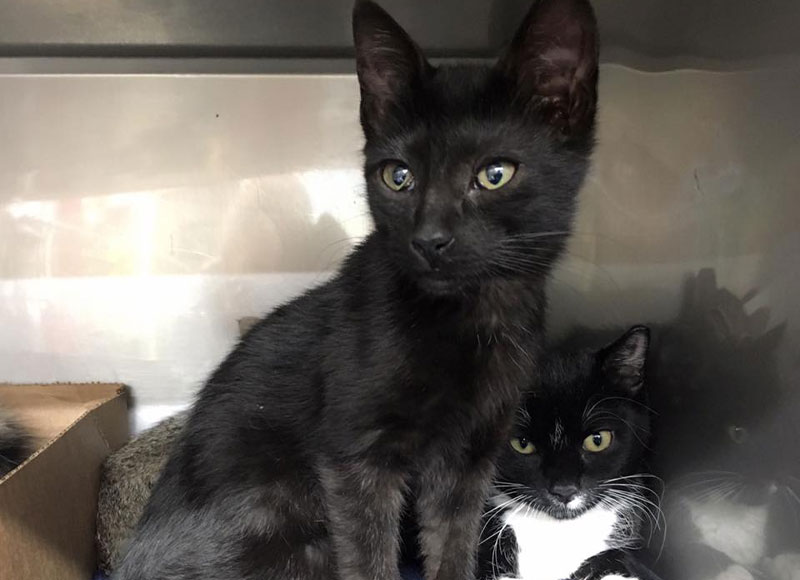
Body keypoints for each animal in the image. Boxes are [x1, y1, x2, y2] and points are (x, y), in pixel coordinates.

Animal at [115, 1, 600, 579]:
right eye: (398, 176)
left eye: (495, 173)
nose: (429, 239)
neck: (468, 319)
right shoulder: (355, 460)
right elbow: (370, 559)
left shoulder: (468, 461)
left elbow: (453, 548)